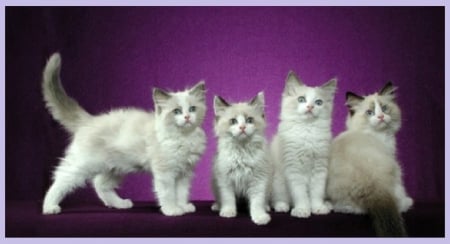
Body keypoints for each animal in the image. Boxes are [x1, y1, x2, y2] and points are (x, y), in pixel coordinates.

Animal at [41, 52, 207, 216]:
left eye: (192, 109)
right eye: (177, 111)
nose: (187, 117)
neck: (184, 137)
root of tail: (90, 120)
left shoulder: (185, 172)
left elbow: (181, 192)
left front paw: (183, 206)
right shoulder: (165, 171)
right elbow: (168, 193)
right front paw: (172, 209)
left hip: (115, 167)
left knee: (100, 184)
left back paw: (119, 204)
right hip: (85, 163)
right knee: (62, 178)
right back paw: (49, 206)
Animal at [211, 92, 270, 226]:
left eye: (249, 120)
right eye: (233, 121)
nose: (242, 127)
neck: (242, 151)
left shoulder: (258, 180)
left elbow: (257, 201)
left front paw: (260, 217)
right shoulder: (225, 179)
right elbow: (228, 198)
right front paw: (228, 212)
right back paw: (217, 206)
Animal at [268, 70, 338, 217]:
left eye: (318, 102)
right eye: (301, 99)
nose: (310, 107)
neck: (307, 131)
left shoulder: (320, 168)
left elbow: (316, 192)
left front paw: (318, 208)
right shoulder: (293, 169)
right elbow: (300, 194)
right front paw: (303, 210)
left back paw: (327, 205)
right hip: (278, 182)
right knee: (279, 199)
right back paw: (282, 206)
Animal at [324, 82, 414, 236]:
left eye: (384, 108)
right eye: (370, 112)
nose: (381, 117)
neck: (375, 134)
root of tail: (371, 186)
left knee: (351, 209)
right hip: (397, 173)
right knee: (399, 203)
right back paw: (408, 202)